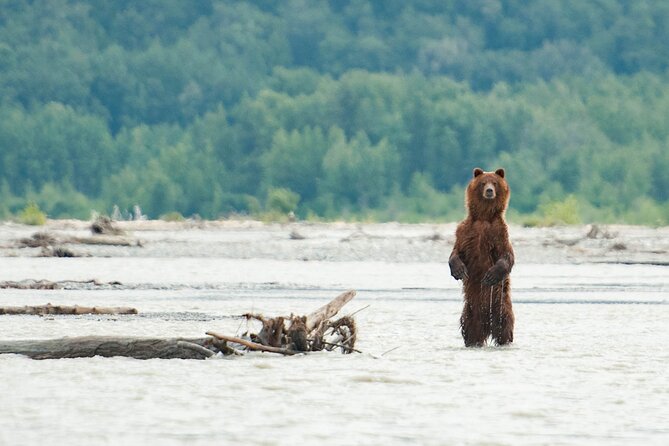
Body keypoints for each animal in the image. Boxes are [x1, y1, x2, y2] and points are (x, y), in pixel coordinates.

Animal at [452, 167, 516, 344]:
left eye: (494, 183)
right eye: (483, 183)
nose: (489, 191)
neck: (484, 217)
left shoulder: (499, 233)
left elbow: (506, 255)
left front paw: (490, 275)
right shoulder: (466, 231)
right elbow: (456, 252)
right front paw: (459, 270)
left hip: (500, 306)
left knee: (505, 326)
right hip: (470, 311)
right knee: (469, 328)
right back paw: (472, 341)